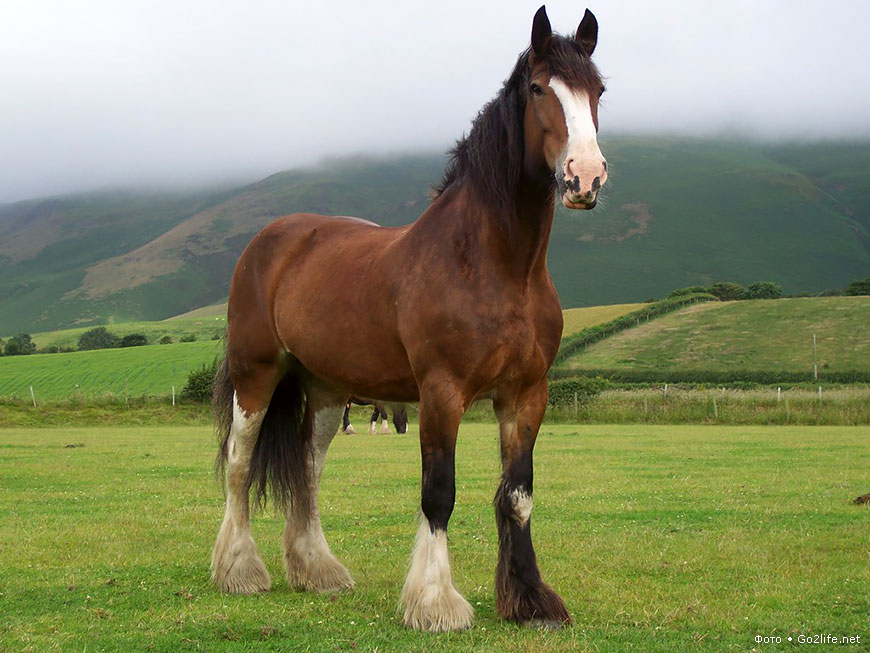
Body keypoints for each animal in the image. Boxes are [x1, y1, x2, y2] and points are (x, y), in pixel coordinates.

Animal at [211, 5, 608, 632]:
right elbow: (438, 494)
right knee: (238, 465)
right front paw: (436, 603)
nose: (585, 177)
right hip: (256, 378)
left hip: (327, 391)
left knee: (309, 472)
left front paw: (530, 601)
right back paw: (240, 571)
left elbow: (517, 495)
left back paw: (317, 571)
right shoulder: (441, 393)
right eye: (540, 88)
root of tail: (271, 241)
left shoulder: (525, 395)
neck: (495, 266)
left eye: (598, 91)